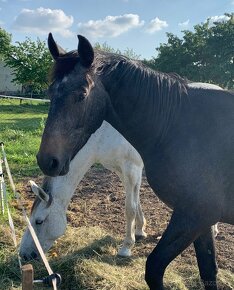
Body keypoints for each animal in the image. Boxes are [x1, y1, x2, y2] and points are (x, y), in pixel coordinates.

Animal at [19, 121, 146, 260]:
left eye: (39, 221)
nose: (24, 254)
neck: (102, 134)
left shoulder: (131, 168)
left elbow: (130, 209)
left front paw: (126, 247)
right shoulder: (121, 170)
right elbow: (137, 202)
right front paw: (140, 230)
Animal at [37, 33, 234, 288]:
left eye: (81, 95)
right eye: (50, 93)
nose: (47, 160)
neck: (175, 126)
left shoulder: (192, 214)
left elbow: (152, 262)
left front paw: (128, 244)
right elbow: (208, 270)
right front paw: (137, 232)